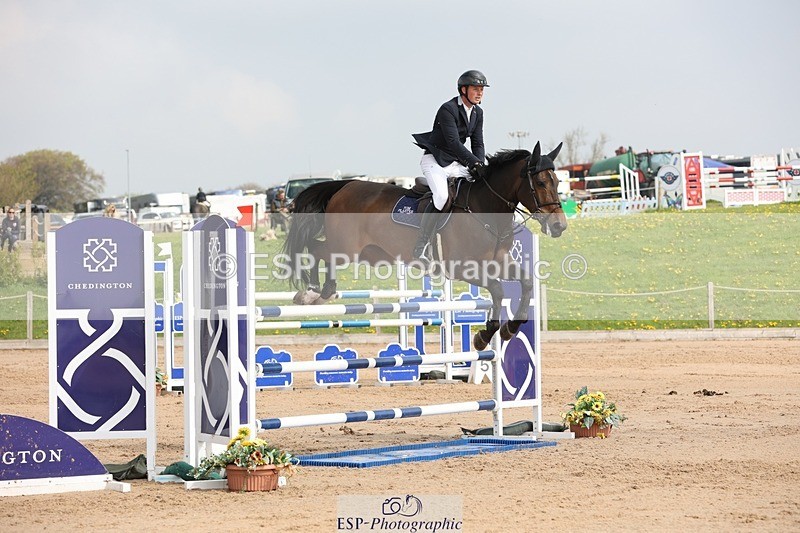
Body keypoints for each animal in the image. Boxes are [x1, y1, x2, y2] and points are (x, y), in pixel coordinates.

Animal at [282, 141, 567, 350]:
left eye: (557, 182)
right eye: (541, 182)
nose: (559, 226)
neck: (484, 208)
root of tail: (345, 186)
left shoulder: (499, 262)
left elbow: (526, 282)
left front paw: (509, 329)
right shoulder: (464, 268)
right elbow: (497, 290)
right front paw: (484, 336)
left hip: (367, 254)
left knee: (322, 253)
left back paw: (324, 291)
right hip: (346, 249)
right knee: (315, 249)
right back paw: (312, 292)